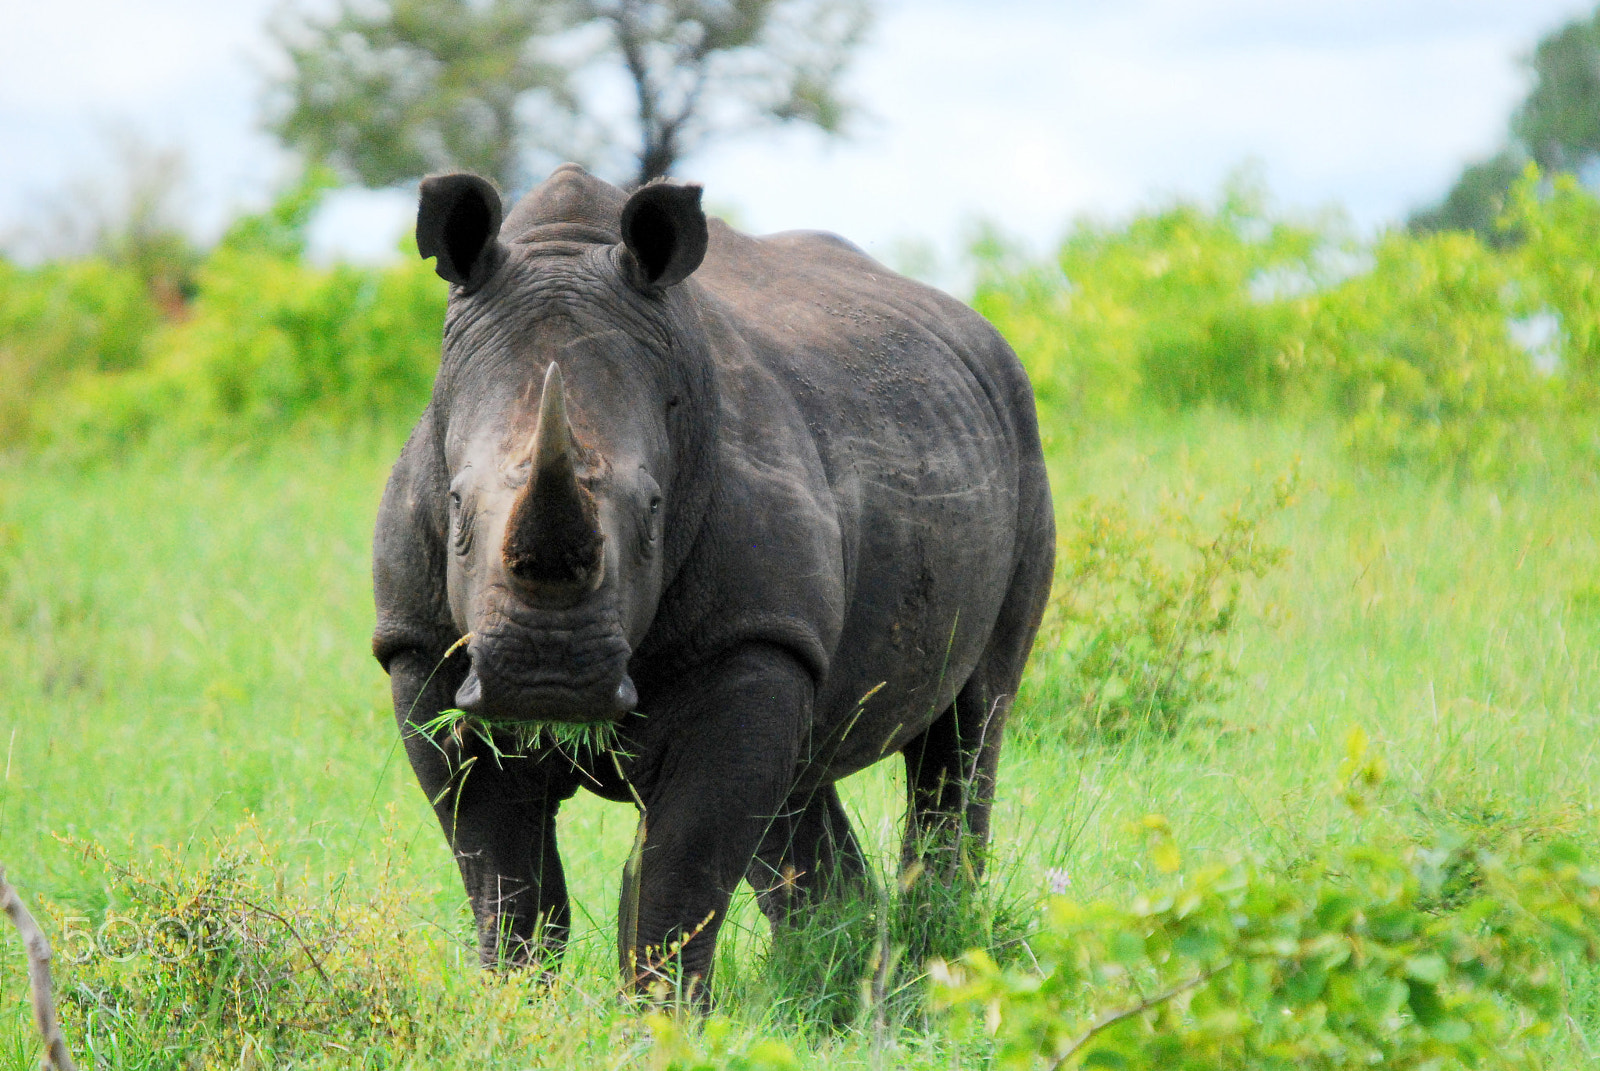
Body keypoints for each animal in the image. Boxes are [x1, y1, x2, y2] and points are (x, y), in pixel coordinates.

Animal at [372, 164, 1054, 993]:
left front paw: (660, 1016)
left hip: (1020, 435)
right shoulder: (420, 647)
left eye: (653, 510)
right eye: (455, 505)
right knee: (802, 775)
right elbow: (509, 883)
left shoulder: (750, 637)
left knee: (971, 724)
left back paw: (937, 945)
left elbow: (679, 873)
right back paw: (842, 960)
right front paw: (514, 1005)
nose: (546, 677)